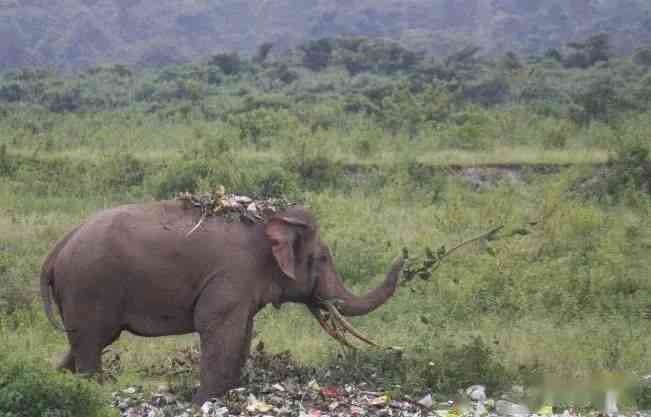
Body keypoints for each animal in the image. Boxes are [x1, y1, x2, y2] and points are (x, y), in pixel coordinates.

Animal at [40, 200, 404, 404]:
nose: (405, 255)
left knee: (83, 343)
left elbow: (244, 331)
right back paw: (92, 392)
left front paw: (226, 396)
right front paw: (201, 402)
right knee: (91, 344)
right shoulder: (232, 275)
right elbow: (217, 327)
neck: (270, 220)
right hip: (89, 286)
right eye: (324, 258)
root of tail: (56, 250)